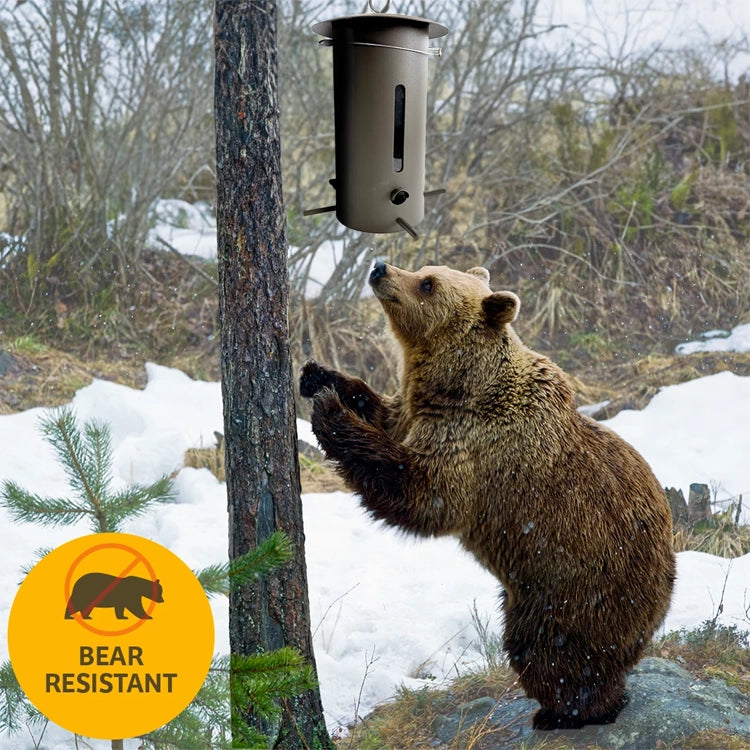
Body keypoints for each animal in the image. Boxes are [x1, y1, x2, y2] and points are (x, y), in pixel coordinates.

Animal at [299, 260, 676, 730]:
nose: (380, 267)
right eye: (424, 269)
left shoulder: (476, 446)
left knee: (552, 651)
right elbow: (385, 413)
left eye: (428, 284)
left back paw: (568, 711)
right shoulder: (417, 413)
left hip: (575, 586)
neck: (459, 387)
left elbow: (423, 495)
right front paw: (318, 377)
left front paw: (330, 411)